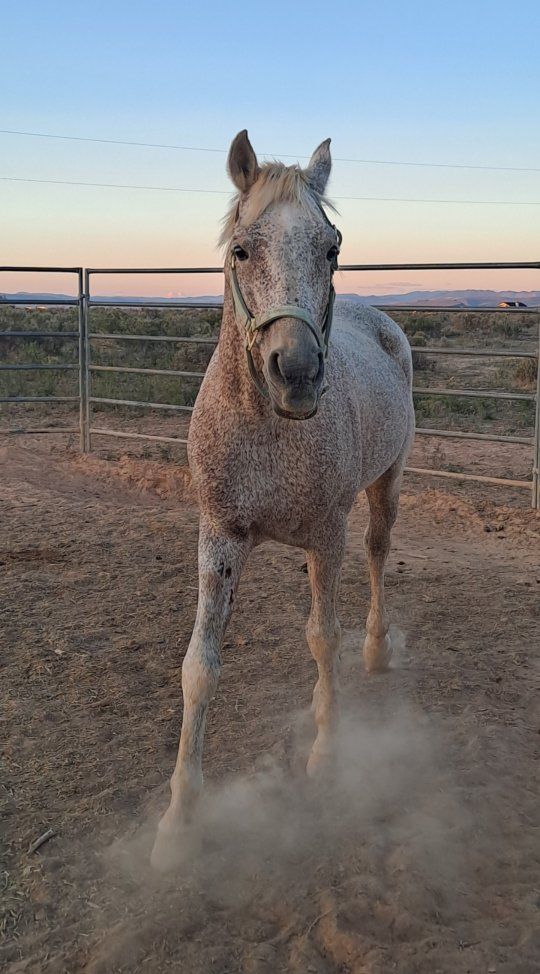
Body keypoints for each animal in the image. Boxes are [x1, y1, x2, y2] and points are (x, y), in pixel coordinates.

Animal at [151, 130, 414, 870]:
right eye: (242, 249)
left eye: (332, 248)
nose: (296, 373)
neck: (265, 428)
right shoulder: (218, 536)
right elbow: (200, 667)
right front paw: (179, 821)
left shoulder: (326, 535)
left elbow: (323, 638)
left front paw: (327, 753)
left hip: (386, 485)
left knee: (378, 554)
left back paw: (377, 649)